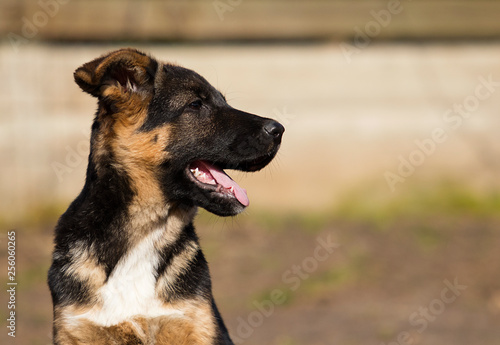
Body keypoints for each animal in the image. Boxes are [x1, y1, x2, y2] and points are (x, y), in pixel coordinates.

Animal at [48, 49, 286, 344]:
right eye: (196, 104)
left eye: (224, 101)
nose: (279, 130)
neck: (147, 232)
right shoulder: (76, 328)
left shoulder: (196, 325)